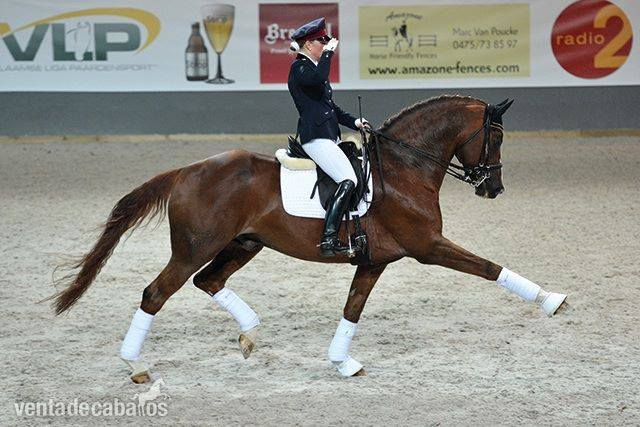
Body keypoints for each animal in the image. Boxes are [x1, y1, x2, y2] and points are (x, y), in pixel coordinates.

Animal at [50, 95, 567, 381]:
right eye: (496, 137)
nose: (492, 188)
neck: (405, 167)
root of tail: (186, 170)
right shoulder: (428, 247)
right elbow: (489, 267)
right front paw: (552, 300)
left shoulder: (374, 260)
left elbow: (352, 309)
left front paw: (342, 363)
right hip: (194, 248)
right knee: (156, 294)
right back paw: (136, 367)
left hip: (244, 244)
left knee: (209, 282)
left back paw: (250, 334)